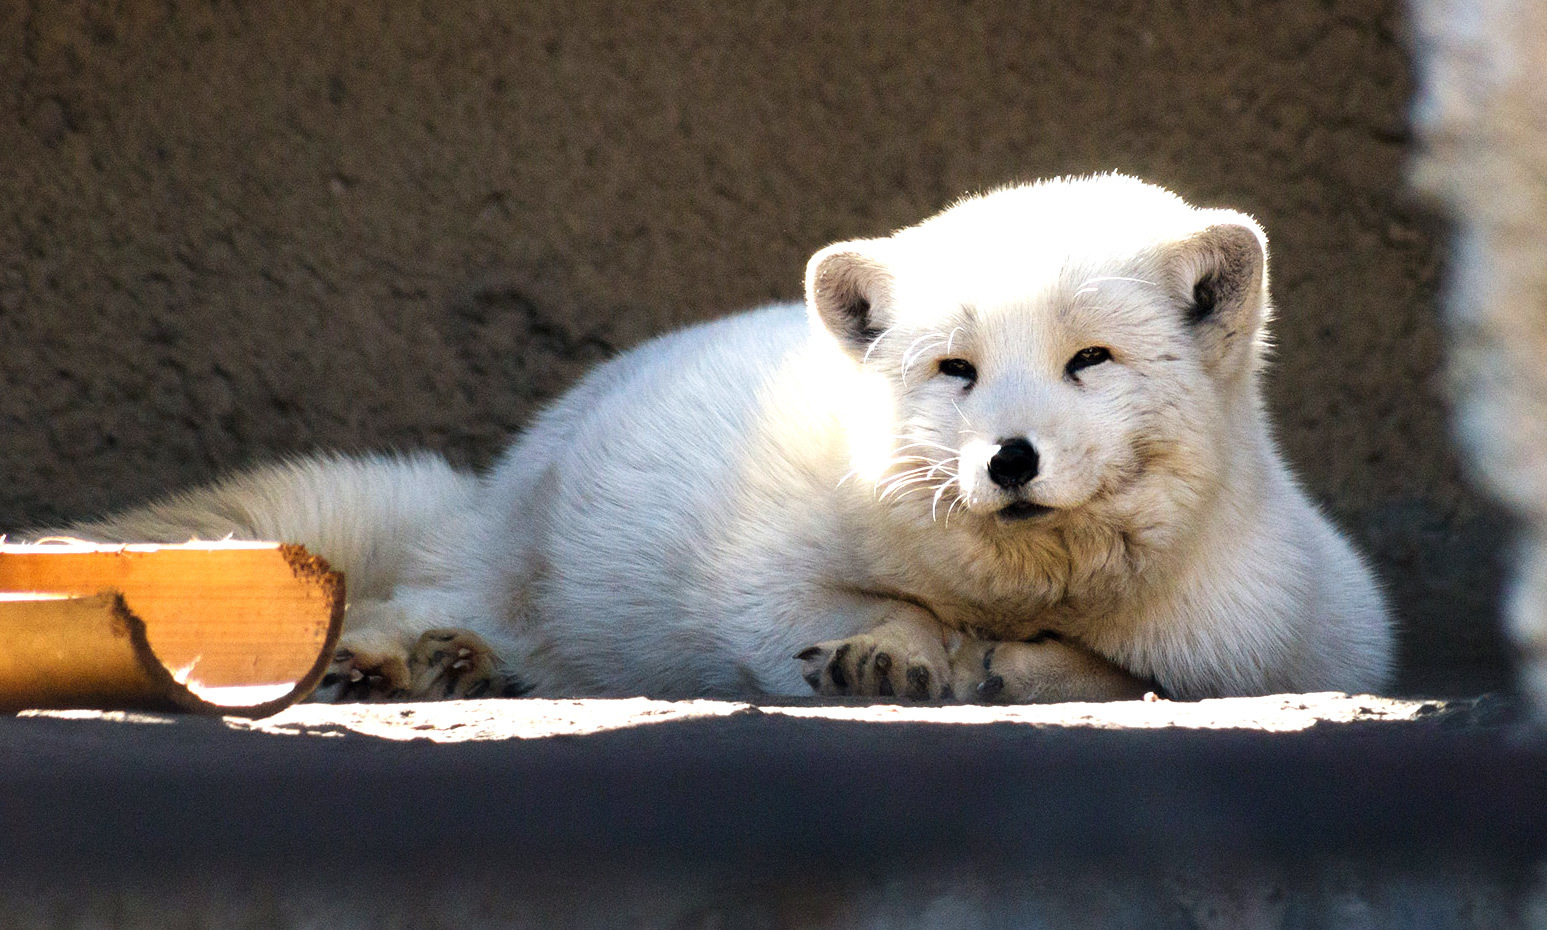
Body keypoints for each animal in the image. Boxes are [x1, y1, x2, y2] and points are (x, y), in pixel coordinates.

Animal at [54, 174, 1398, 699]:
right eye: (955, 369)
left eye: (1089, 360)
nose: (1006, 460)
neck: (1019, 593)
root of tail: (498, 480)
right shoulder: (747, 570)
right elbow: (818, 611)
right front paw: (892, 653)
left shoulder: (1298, 630)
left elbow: (1131, 672)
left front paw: (1011, 666)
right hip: (535, 560)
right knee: (418, 592)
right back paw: (411, 659)